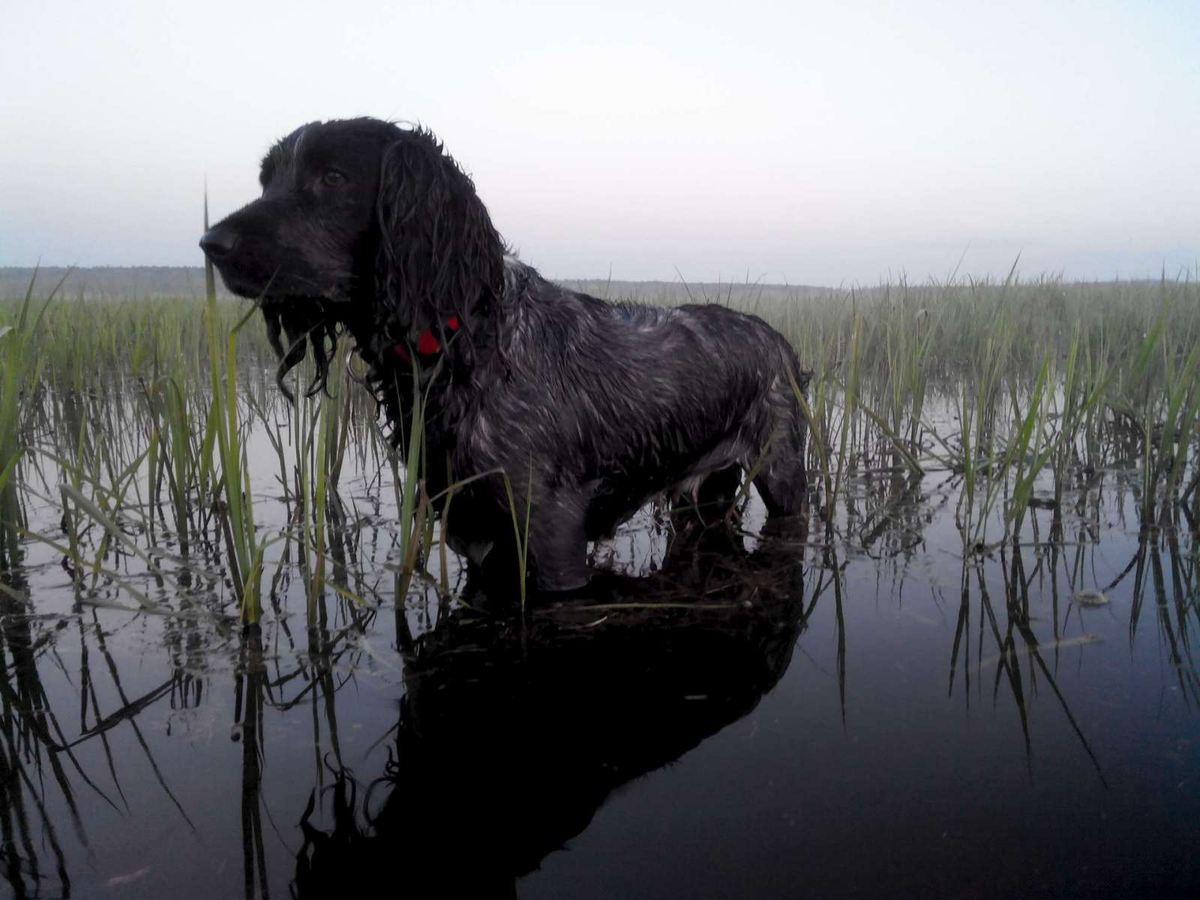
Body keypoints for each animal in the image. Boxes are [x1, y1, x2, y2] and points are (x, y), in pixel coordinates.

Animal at [201, 118, 811, 592]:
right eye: (267, 180)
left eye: (331, 177)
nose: (212, 244)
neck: (464, 349)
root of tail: (776, 337)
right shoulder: (473, 530)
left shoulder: (551, 534)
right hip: (703, 496)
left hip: (783, 475)